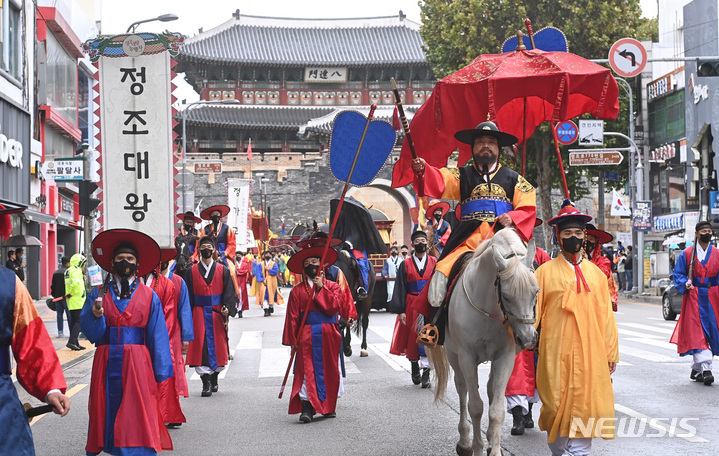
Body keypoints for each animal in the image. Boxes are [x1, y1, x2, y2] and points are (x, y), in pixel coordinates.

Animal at [428, 230, 540, 456]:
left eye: (536, 292)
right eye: (507, 296)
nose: (528, 339)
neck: (490, 307)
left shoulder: (505, 357)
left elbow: (496, 409)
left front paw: (494, 448)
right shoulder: (467, 357)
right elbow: (475, 407)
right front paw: (476, 447)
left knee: (488, 389)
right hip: (454, 355)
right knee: (462, 389)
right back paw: (465, 442)